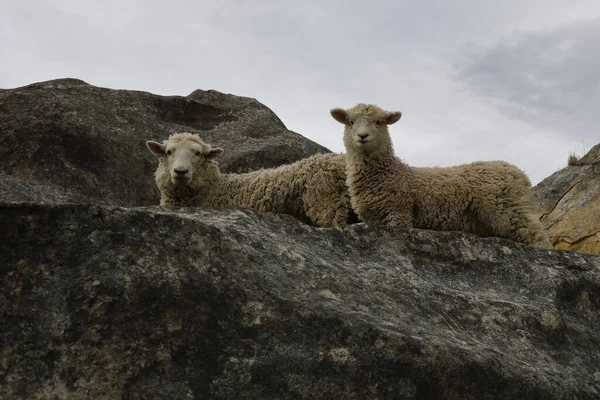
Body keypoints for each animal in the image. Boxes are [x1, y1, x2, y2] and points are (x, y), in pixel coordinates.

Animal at [330, 103, 552, 247]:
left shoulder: (398, 213)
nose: (363, 136)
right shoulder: (374, 219)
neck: (390, 172)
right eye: (350, 122)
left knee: (537, 236)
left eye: (379, 122)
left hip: (508, 210)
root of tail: (520, 173)